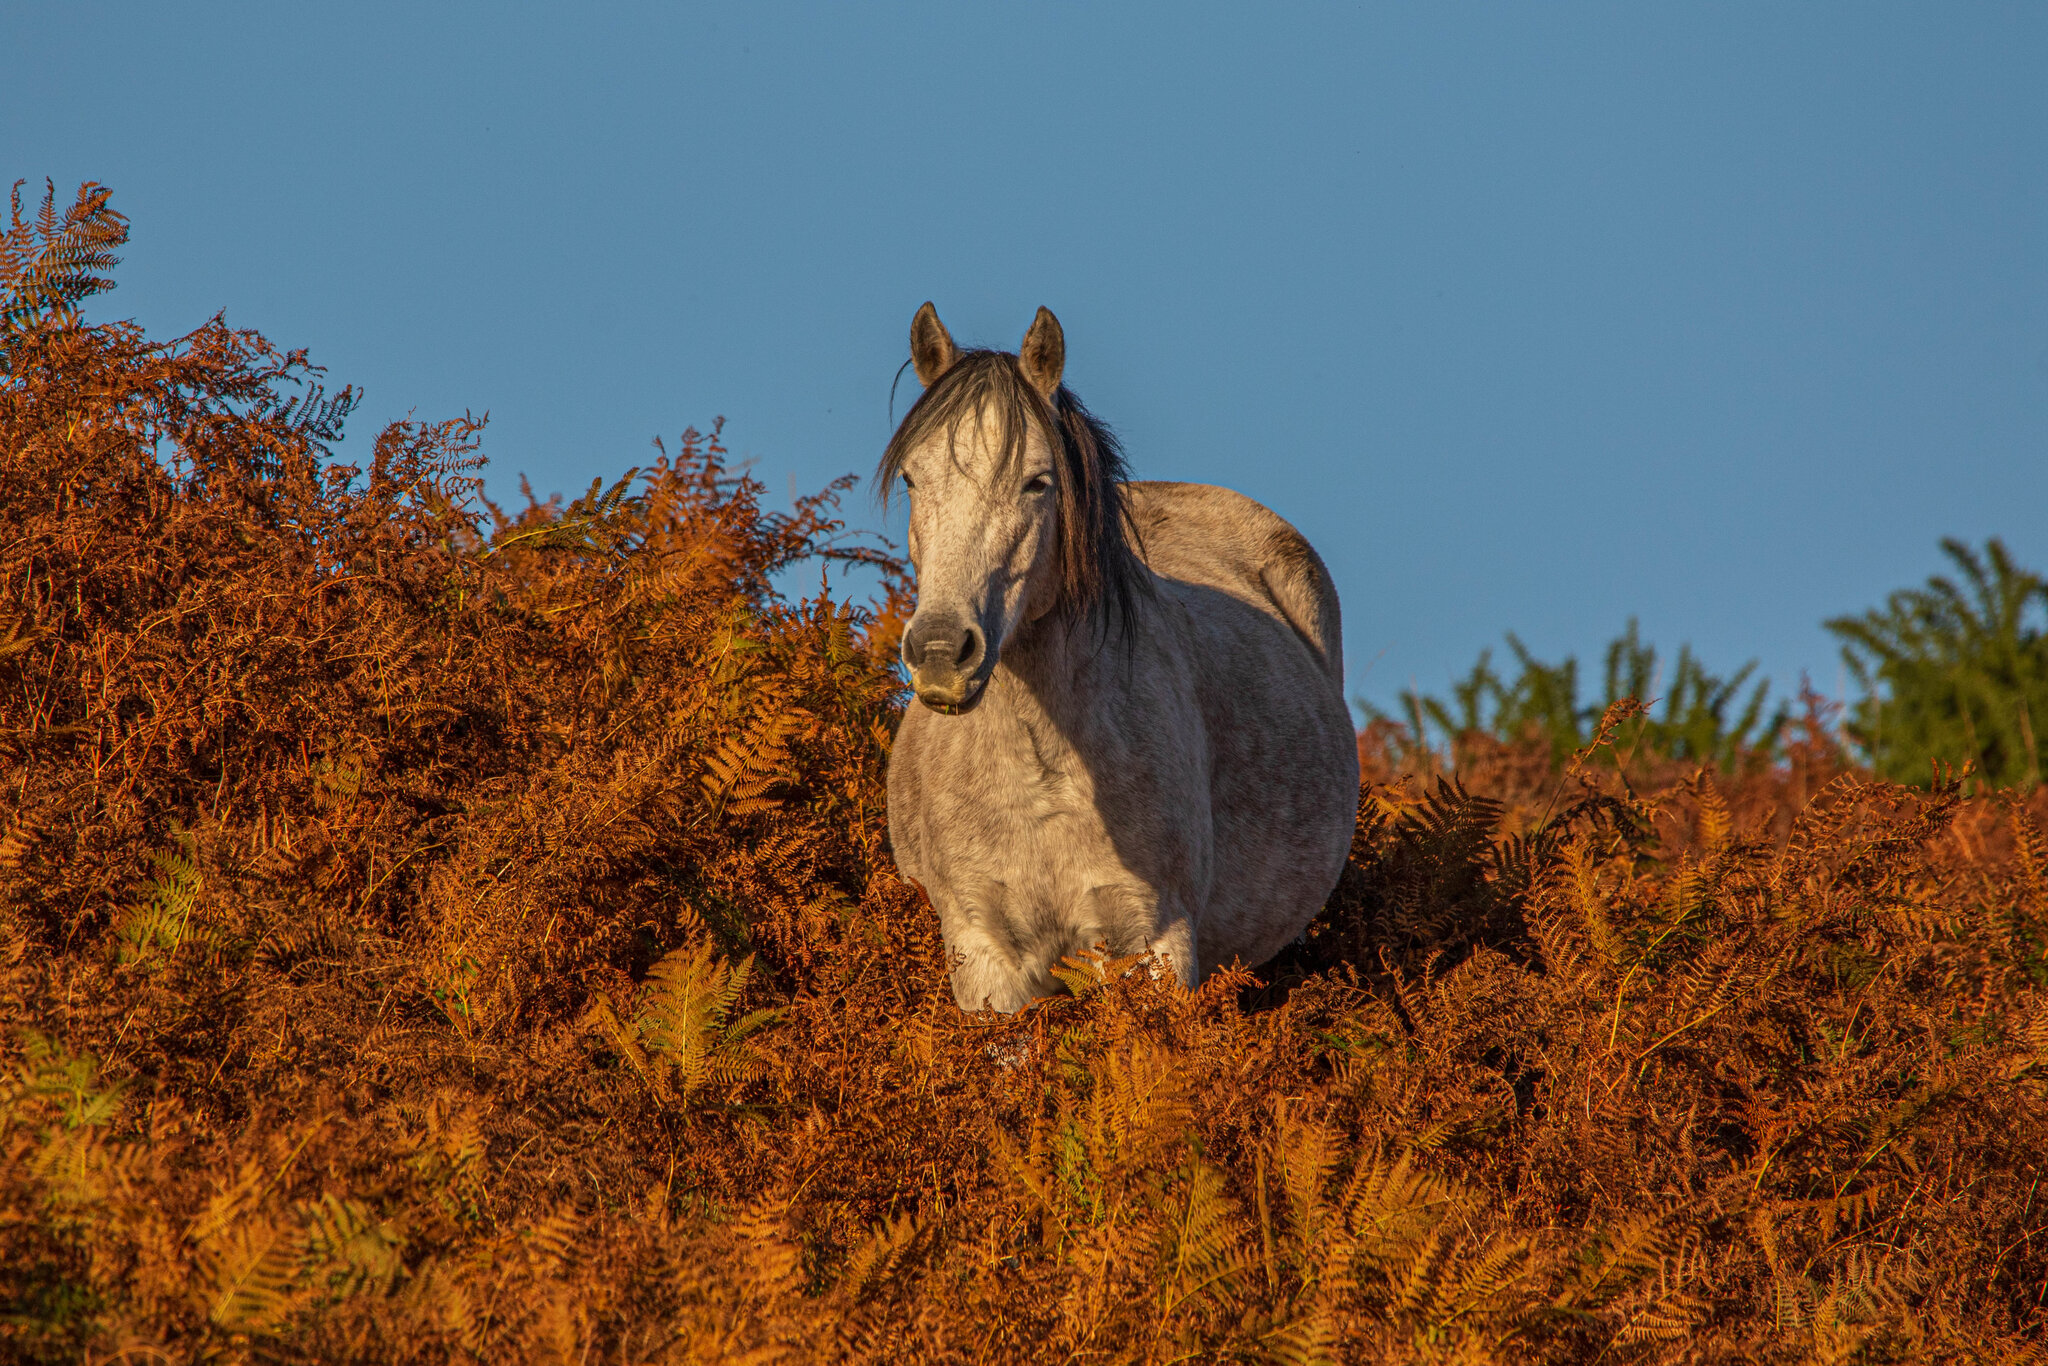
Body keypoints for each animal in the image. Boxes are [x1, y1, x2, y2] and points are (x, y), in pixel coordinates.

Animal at [880, 307, 1359, 1015]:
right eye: (913, 478)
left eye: (1037, 481)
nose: (941, 653)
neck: (1040, 774)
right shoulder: (986, 962)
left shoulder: (1151, 941)